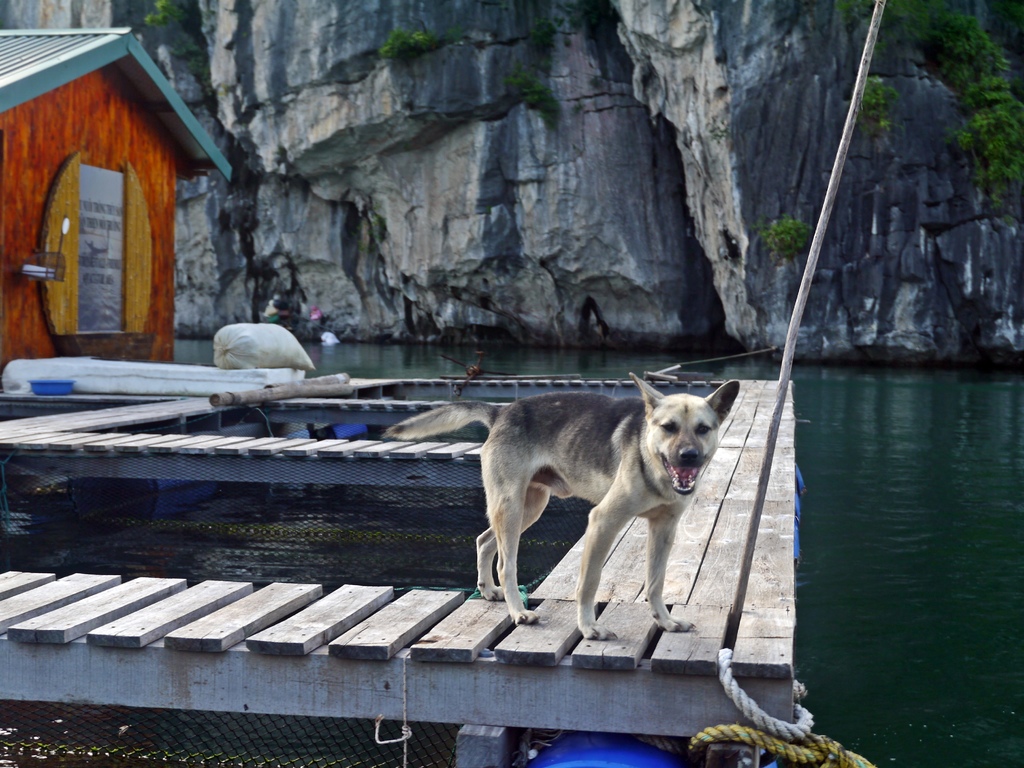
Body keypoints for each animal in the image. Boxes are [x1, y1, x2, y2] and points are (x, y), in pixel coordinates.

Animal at [385, 376, 737, 638]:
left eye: (703, 429)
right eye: (668, 427)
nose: (689, 456)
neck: (651, 459)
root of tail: (502, 412)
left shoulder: (664, 529)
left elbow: (655, 581)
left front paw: (665, 621)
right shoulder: (602, 522)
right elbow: (589, 583)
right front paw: (589, 627)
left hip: (529, 507)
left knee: (484, 541)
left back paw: (488, 590)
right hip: (511, 508)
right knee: (506, 564)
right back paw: (519, 612)